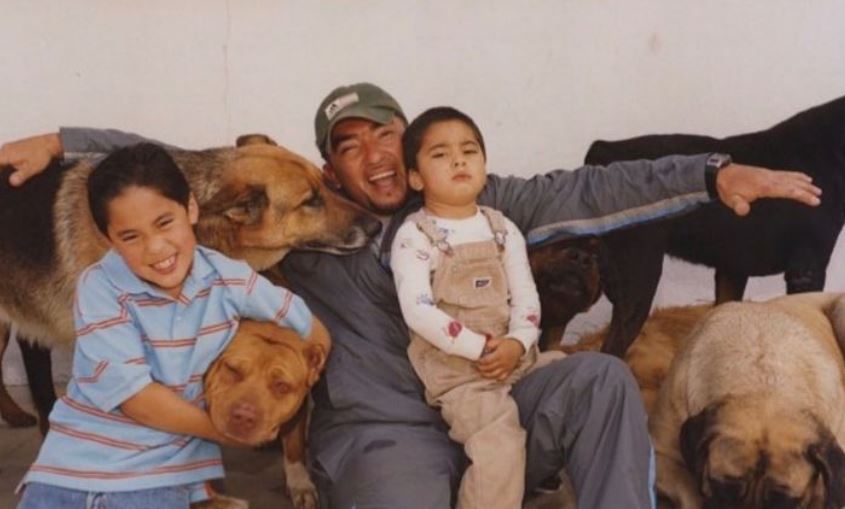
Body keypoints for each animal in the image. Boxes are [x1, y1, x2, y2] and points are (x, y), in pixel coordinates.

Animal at [196, 322, 332, 508]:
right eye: (232, 369)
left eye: (281, 386)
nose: (244, 416)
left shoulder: (299, 406)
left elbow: (294, 446)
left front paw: (300, 483)